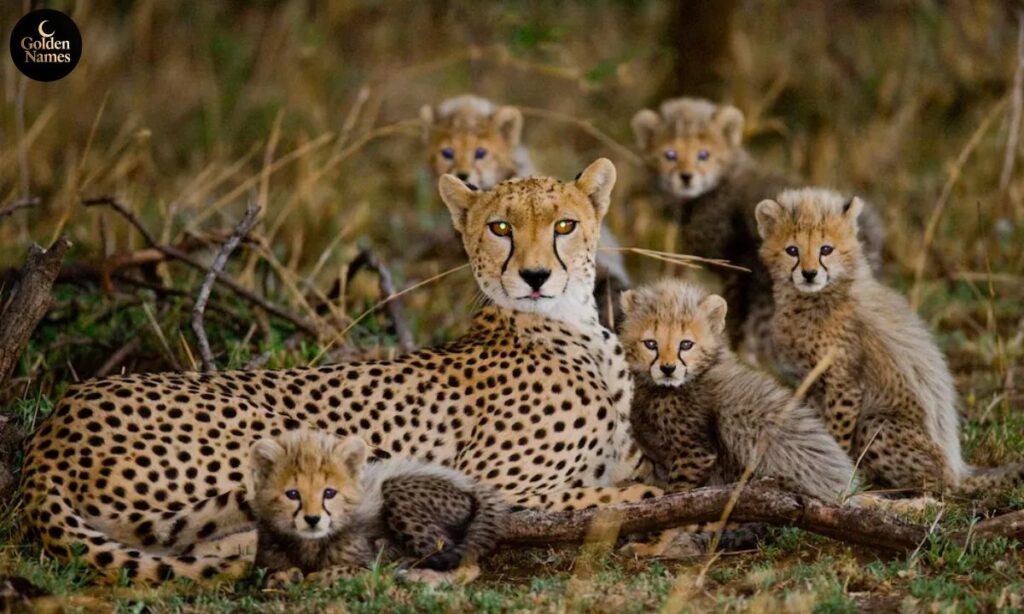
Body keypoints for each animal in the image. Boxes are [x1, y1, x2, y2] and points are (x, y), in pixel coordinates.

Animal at [251, 430, 506, 588]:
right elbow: (268, 575)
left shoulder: (370, 562)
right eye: (293, 494)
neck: (310, 543)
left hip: (395, 488)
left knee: (465, 562)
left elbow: (351, 570)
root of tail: (468, 482)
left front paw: (317, 577)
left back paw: (418, 574)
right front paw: (285, 577)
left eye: (329, 493)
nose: (312, 519)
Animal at [631, 97, 885, 363]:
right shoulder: (761, 285)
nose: (686, 177)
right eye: (670, 154)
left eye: (704, 155)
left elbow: (737, 321)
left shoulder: (739, 271)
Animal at [755, 188, 1024, 496]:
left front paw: (843, 475)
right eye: (792, 250)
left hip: (877, 423)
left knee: (938, 485)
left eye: (826, 249)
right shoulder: (809, 383)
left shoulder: (845, 385)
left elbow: (837, 434)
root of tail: (958, 470)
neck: (813, 299)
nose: (809, 274)